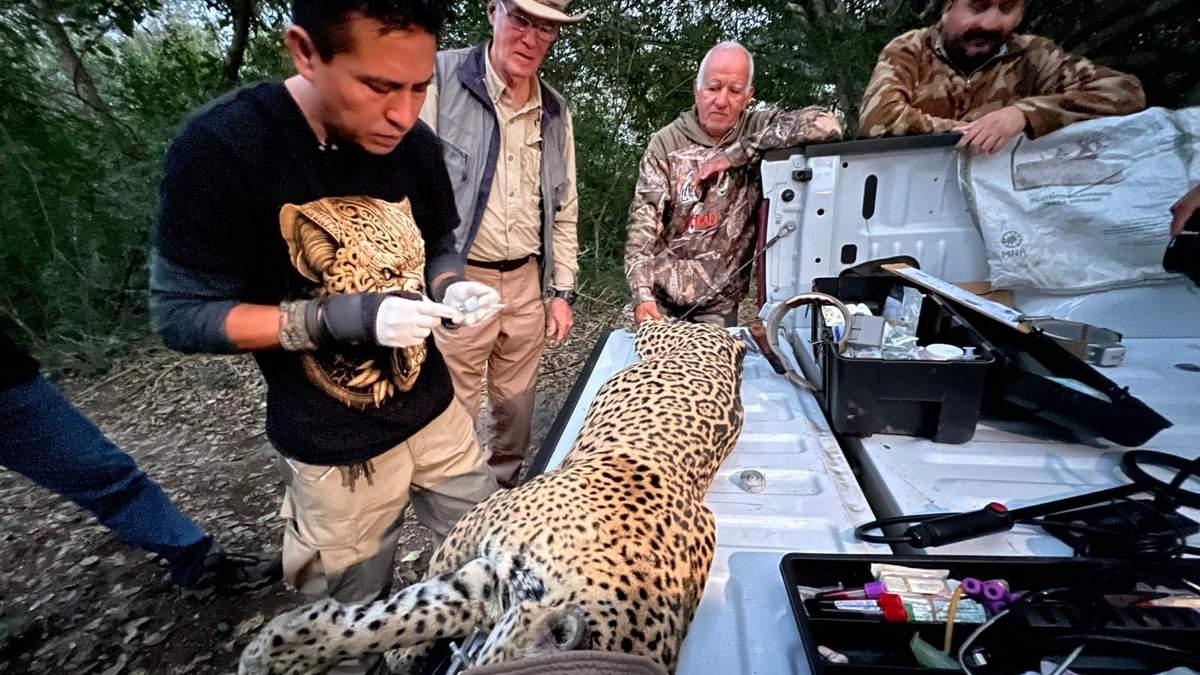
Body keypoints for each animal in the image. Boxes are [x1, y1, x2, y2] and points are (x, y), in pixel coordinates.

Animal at [239, 321, 747, 674]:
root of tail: (729, 347)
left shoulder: (484, 588)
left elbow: (409, 613)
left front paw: (285, 645)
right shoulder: (473, 533)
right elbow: (405, 606)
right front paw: (285, 648)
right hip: (666, 336)